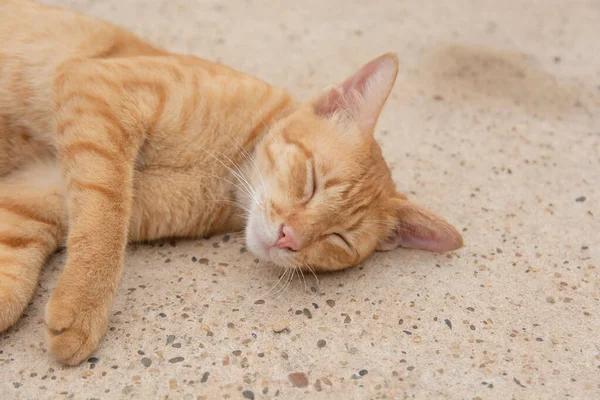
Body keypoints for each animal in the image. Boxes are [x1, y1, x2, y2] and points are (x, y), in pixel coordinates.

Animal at [0, 0, 464, 366]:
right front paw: (85, 305)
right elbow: (105, 220)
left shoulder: (41, 190)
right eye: (312, 182)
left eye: (338, 239)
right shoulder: (100, 92)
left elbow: (17, 270)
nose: (289, 237)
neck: (225, 175)